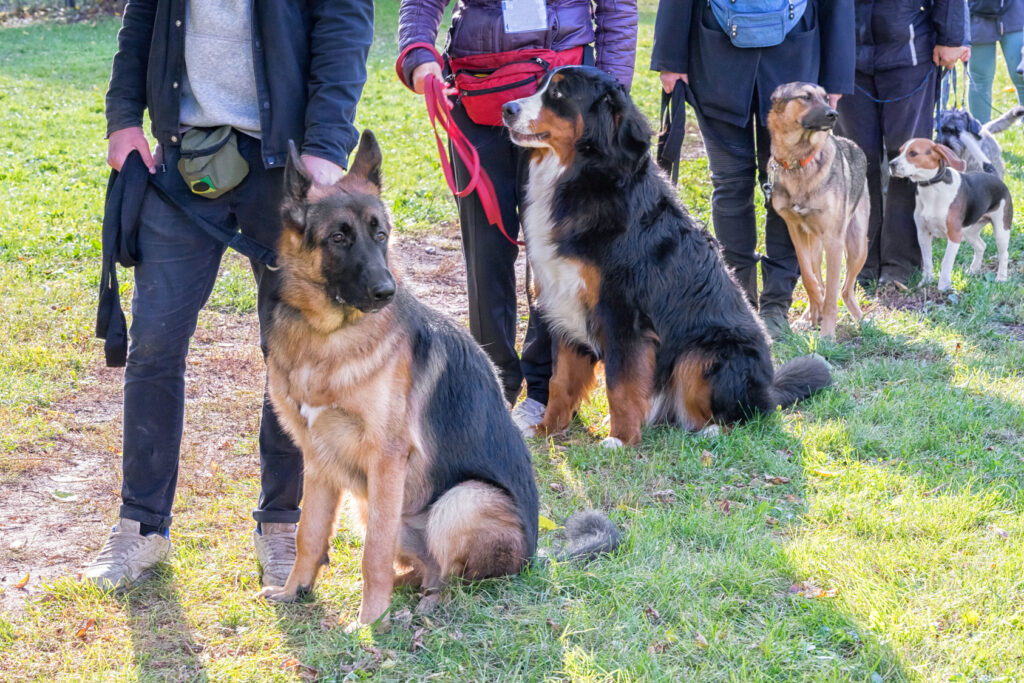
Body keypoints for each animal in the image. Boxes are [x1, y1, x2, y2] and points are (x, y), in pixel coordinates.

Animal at [260, 131, 618, 626]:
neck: (328, 336)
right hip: (370, 504)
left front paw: (369, 622)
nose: (386, 291)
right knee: (422, 567)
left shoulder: (387, 459)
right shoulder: (317, 459)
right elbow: (308, 534)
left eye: (381, 234)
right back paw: (407, 589)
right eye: (338, 237)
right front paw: (296, 590)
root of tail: (535, 556)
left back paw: (424, 606)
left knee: (453, 577)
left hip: (460, 500)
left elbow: (373, 553)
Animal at [503, 65, 831, 448]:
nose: (507, 108)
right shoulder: (566, 303)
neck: (583, 175)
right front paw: (547, 430)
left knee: (746, 416)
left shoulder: (623, 314)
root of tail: (770, 390)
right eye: (540, 85)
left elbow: (620, 383)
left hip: (704, 354)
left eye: (558, 94)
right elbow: (561, 381)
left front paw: (621, 440)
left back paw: (711, 431)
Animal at [765, 82, 868, 339]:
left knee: (845, 289)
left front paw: (827, 335)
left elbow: (831, 295)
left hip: (857, 246)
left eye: (825, 97)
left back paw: (862, 321)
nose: (834, 114)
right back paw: (809, 316)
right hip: (815, 246)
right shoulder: (796, 232)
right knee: (820, 281)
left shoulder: (834, 241)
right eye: (806, 97)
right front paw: (814, 315)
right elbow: (810, 279)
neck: (798, 162)